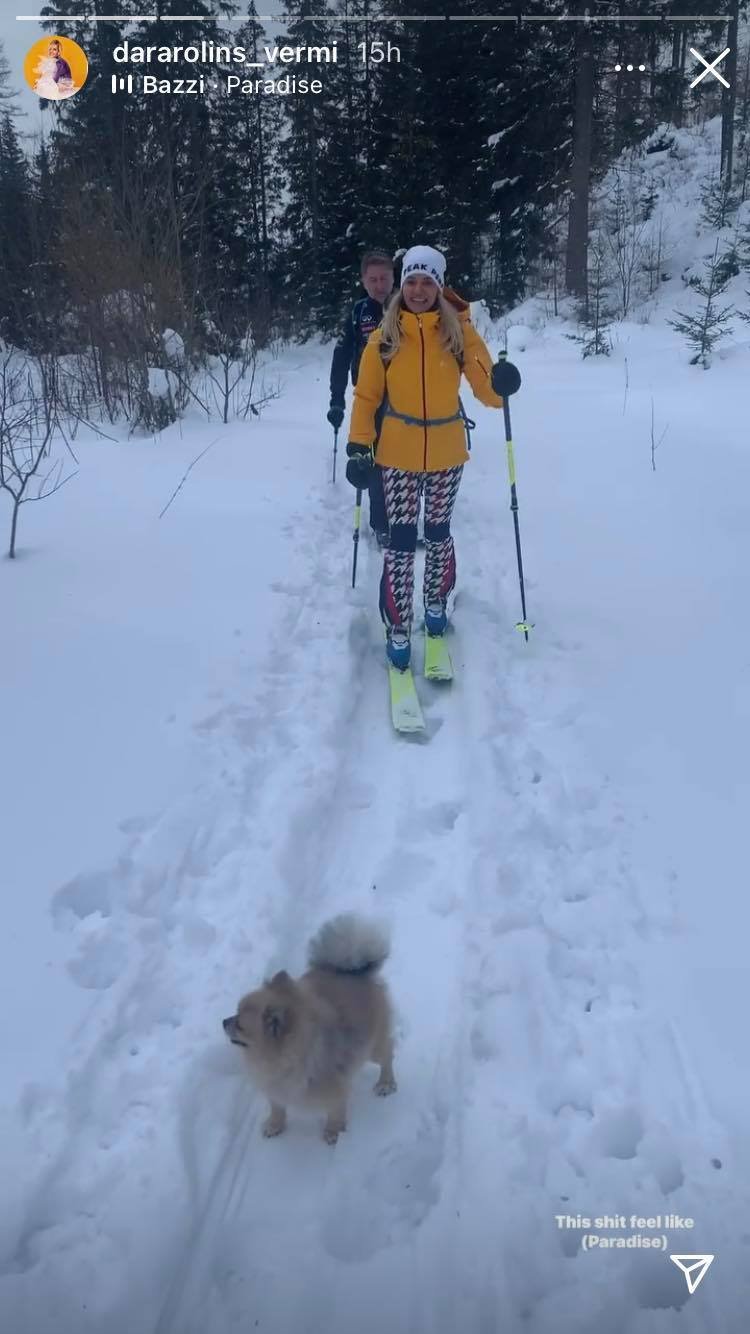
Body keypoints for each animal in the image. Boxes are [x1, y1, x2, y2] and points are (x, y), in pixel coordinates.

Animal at [221, 917, 397, 1147]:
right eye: (235, 1012)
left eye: (240, 1025)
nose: (223, 1021)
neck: (285, 1056)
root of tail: (354, 969)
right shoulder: (275, 1086)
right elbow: (277, 1108)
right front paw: (275, 1125)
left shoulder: (334, 1088)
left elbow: (335, 1111)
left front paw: (333, 1133)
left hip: (372, 1047)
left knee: (387, 1054)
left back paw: (386, 1083)